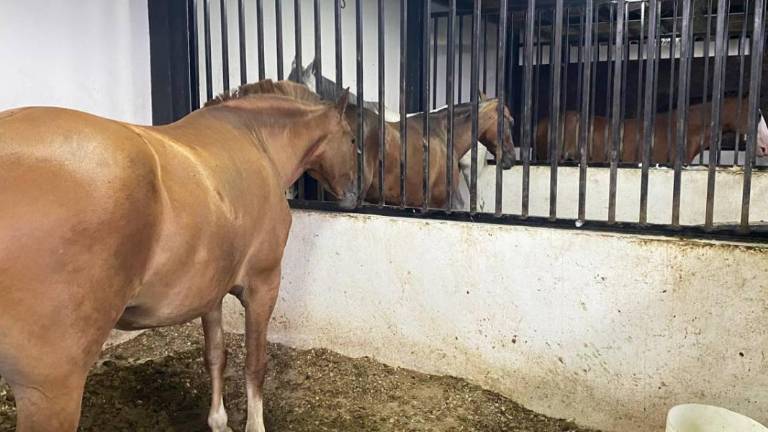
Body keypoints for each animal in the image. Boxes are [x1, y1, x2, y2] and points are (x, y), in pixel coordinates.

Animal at [0, 81, 358, 432]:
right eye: (353, 139)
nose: (353, 197)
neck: (255, 141)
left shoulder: (210, 291)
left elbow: (215, 355)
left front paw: (218, 422)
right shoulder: (263, 285)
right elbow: (255, 364)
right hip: (51, 392)